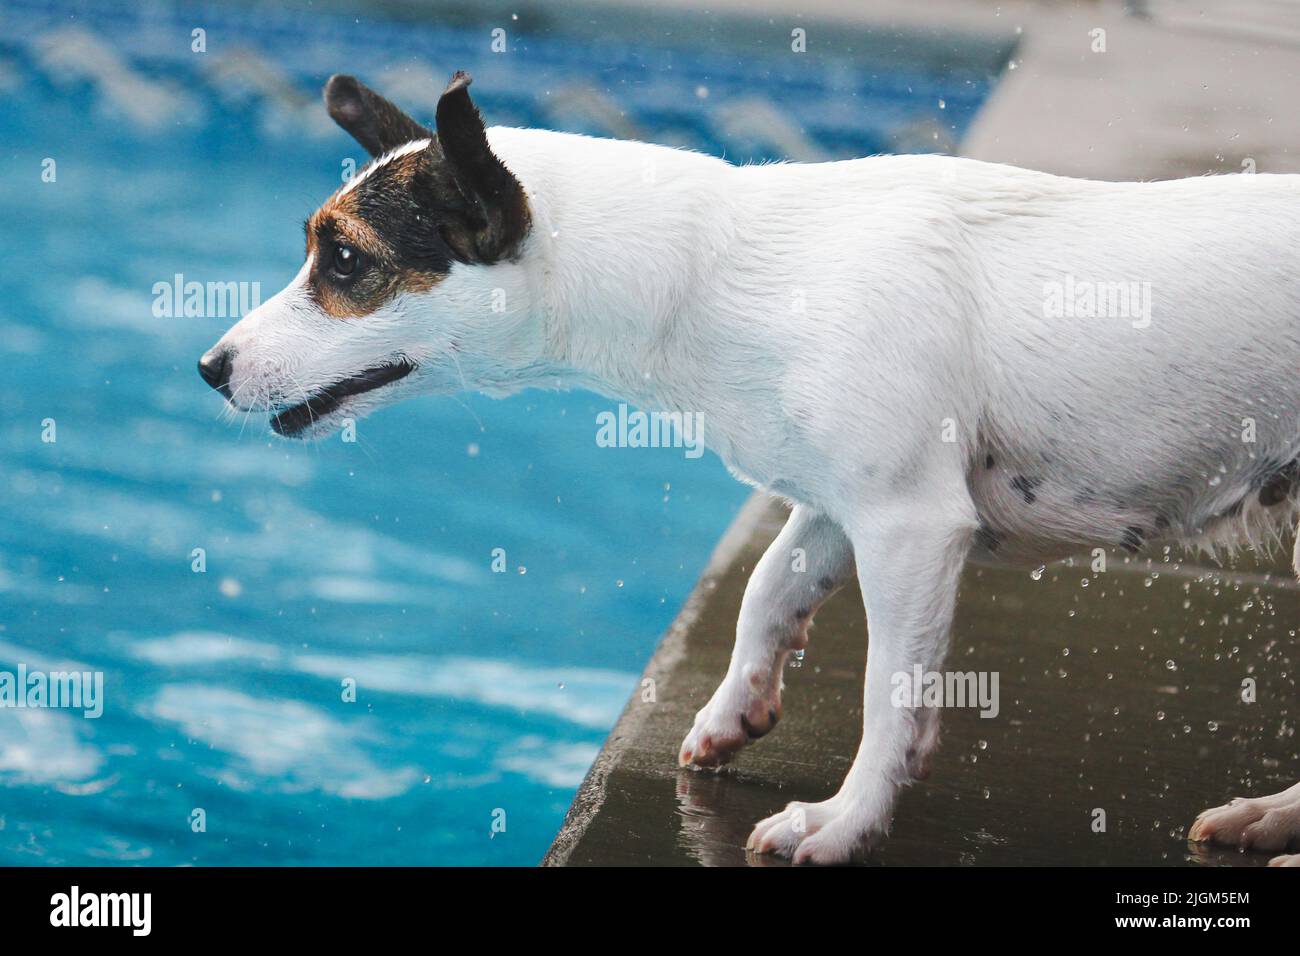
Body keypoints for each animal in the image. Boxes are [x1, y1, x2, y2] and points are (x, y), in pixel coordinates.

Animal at [197, 72, 1300, 868]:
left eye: (344, 261)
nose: (209, 368)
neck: (714, 274)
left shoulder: (908, 525)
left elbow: (889, 695)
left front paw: (844, 823)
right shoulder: (835, 505)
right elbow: (768, 589)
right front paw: (737, 712)